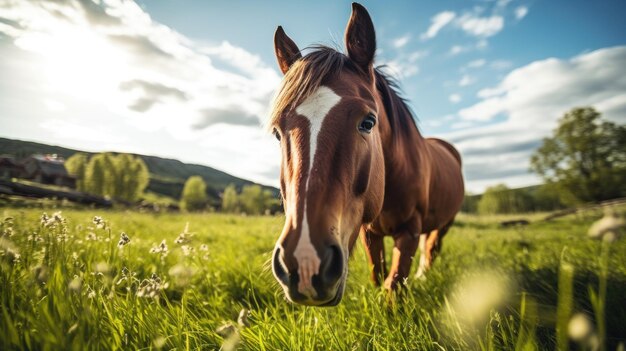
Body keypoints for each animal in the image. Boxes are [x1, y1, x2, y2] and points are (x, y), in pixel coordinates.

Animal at [268, 2, 464, 306]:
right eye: (278, 132)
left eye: (368, 122)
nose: (305, 262)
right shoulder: (369, 232)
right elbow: (377, 274)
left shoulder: (408, 231)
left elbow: (393, 286)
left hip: (445, 223)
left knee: (432, 248)